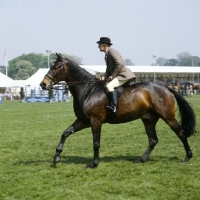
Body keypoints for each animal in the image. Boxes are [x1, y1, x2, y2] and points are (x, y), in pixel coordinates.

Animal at [39, 52, 196, 168]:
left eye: (56, 67)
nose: (43, 84)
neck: (87, 90)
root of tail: (166, 87)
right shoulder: (83, 121)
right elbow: (65, 133)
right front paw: (57, 157)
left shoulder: (95, 121)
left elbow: (96, 143)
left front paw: (94, 164)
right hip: (149, 119)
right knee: (153, 140)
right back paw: (141, 159)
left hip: (167, 116)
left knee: (180, 133)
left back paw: (187, 157)